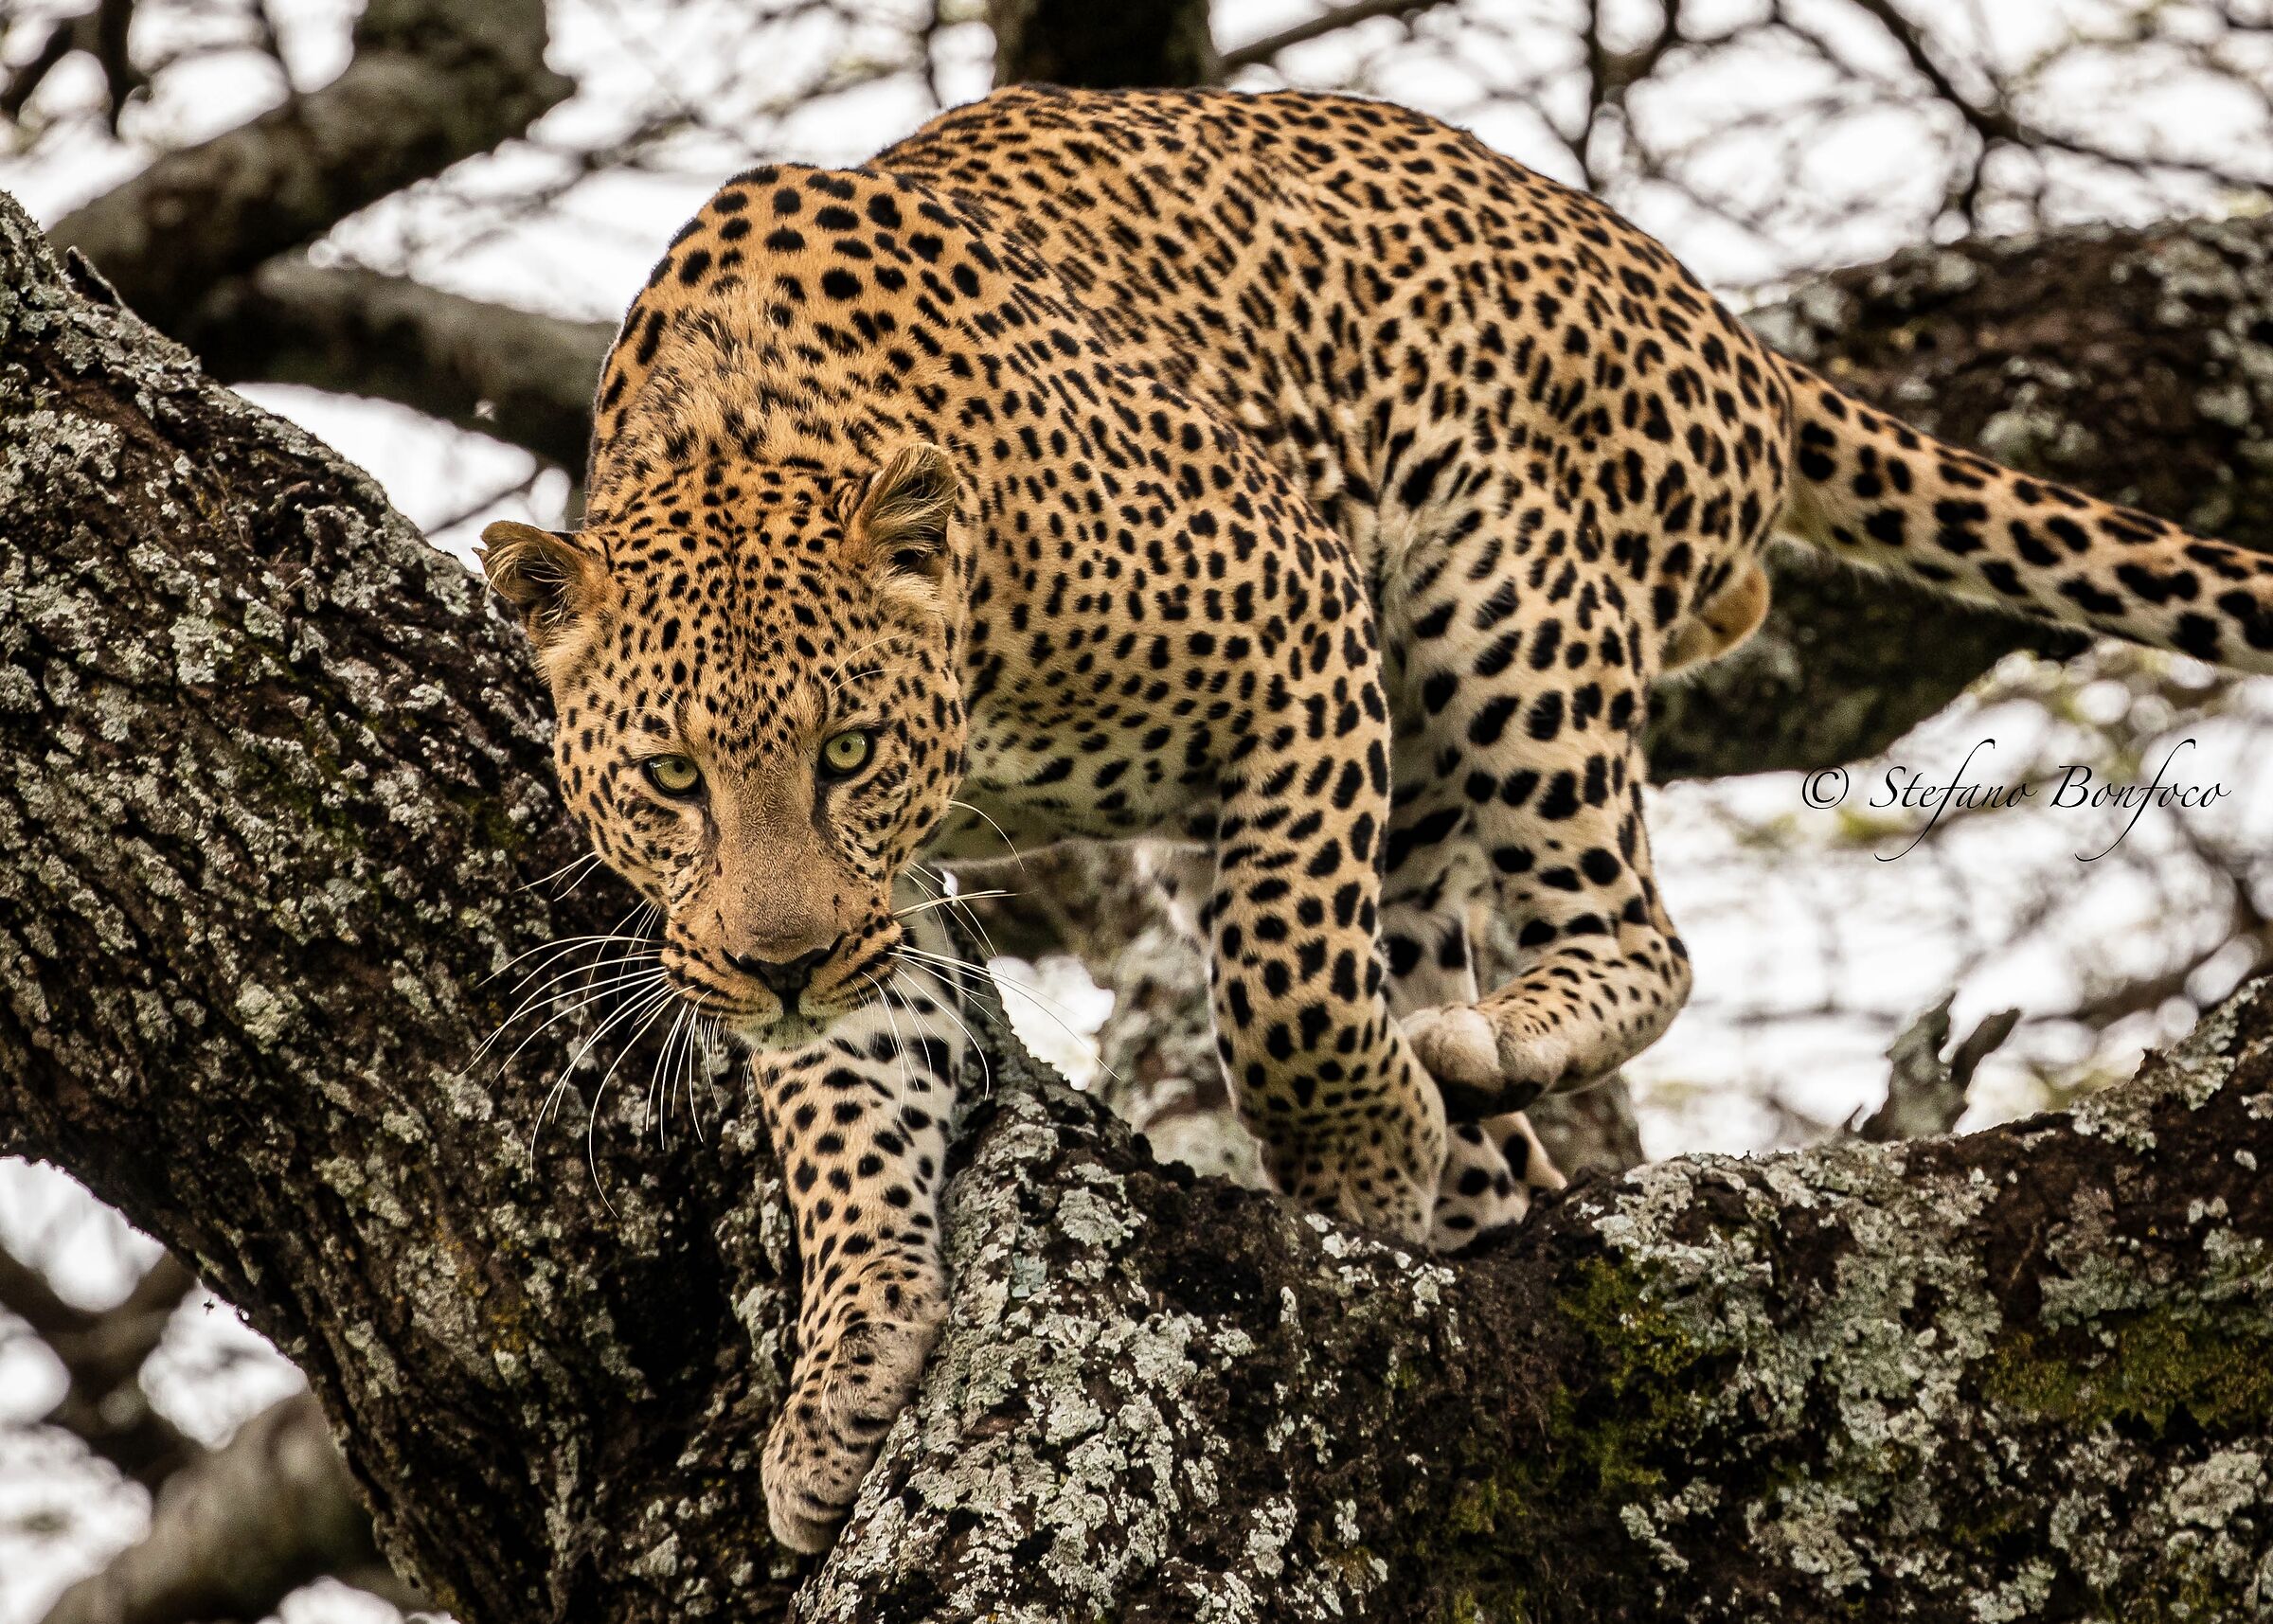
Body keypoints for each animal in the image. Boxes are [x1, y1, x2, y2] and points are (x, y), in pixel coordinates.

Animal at [477, 83, 2273, 1552]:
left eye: (846, 749)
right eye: (670, 780)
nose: (776, 962)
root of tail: (1707, 309)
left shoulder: (1296, 618)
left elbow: (1284, 980)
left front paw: (1363, 1151)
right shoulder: (868, 915)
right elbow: (848, 1110)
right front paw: (841, 1373)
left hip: (1499, 577)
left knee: (1617, 927)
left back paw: (1494, 1049)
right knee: (1429, 945)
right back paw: (1482, 1165)